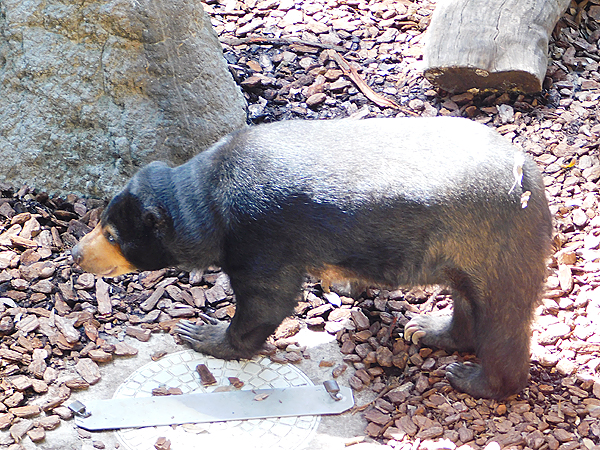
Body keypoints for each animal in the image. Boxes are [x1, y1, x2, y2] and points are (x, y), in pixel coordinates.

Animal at [71, 118, 552, 400]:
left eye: (112, 236)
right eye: (101, 224)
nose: (76, 255)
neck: (208, 194)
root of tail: (526, 172)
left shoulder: (259, 231)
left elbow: (268, 298)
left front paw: (203, 334)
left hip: (494, 242)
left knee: (501, 320)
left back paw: (474, 380)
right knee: (469, 300)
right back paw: (427, 329)